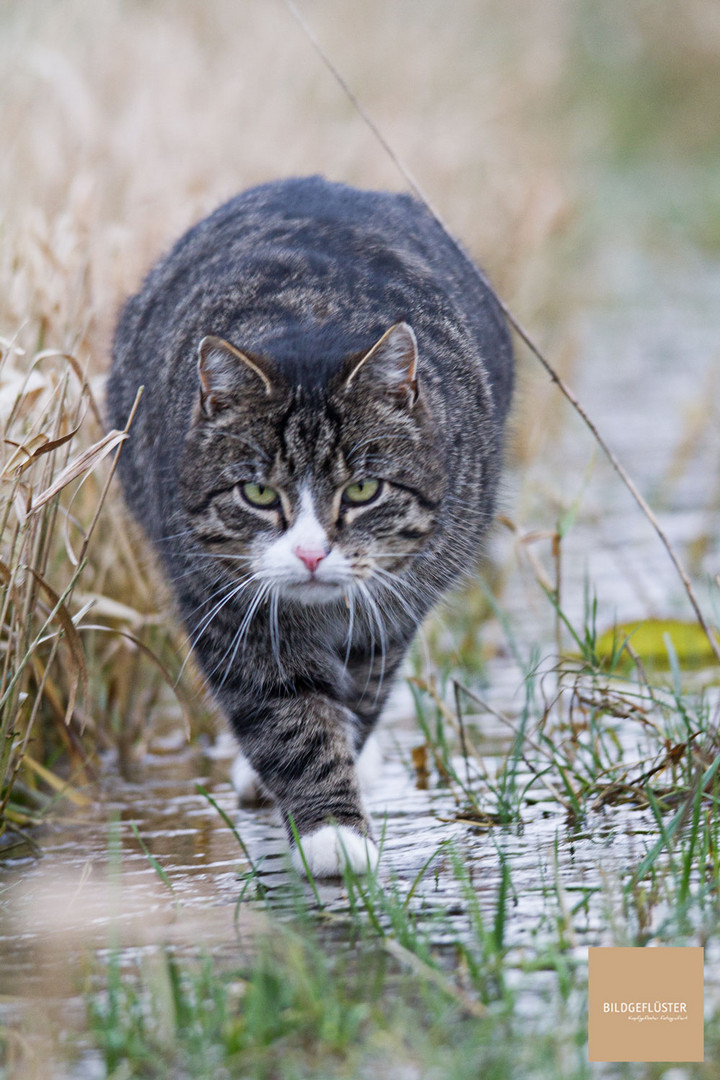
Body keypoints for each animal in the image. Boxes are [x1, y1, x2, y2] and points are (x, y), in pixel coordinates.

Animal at [105, 174, 511, 876]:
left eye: (364, 489)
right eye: (259, 492)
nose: (312, 555)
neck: (315, 318)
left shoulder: (393, 606)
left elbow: (360, 693)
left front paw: (338, 794)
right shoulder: (223, 602)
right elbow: (288, 715)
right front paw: (331, 833)